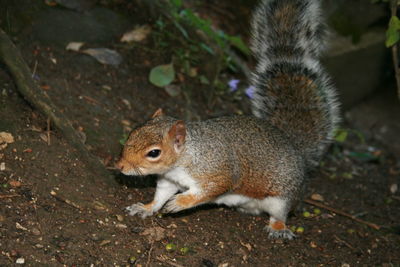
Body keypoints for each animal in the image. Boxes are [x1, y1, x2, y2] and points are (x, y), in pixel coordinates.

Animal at [116, 0, 340, 241]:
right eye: (133, 132)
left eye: (154, 153)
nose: (120, 166)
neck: (188, 155)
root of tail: (297, 152)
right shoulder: (169, 179)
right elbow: (160, 195)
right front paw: (146, 207)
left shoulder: (219, 171)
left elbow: (209, 190)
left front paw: (180, 202)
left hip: (282, 197)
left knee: (280, 214)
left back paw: (278, 228)